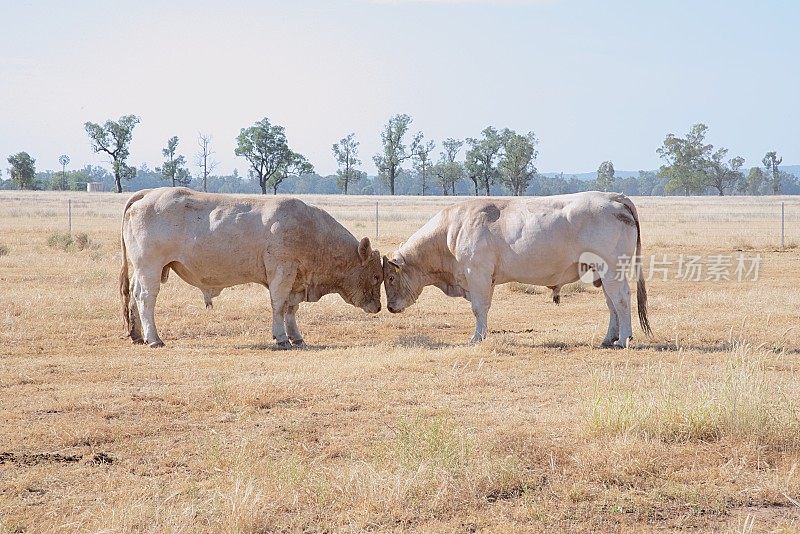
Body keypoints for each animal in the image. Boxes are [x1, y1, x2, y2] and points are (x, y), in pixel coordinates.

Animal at [384, 192, 652, 348]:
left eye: (390, 278)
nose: (390, 307)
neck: (450, 231)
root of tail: (615, 197)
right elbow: (484, 308)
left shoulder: (477, 274)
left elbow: (478, 308)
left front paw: (477, 337)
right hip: (602, 271)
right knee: (611, 303)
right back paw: (609, 338)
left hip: (611, 268)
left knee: (621, 299)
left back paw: (624, 339)